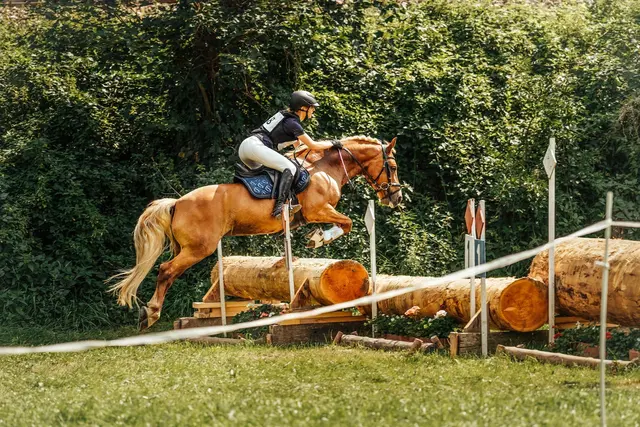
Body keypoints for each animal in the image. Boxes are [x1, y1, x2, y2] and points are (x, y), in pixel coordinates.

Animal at [109, 135, 403, 330]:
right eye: (393, 167)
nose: (396, 198)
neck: (324, 169)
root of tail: (177, 203)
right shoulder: (318, 210)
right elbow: (347, 223)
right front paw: (318, 239)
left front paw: (308, 242)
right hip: (199, 248)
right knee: (166, 270)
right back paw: (150, 314)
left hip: (189, 247)